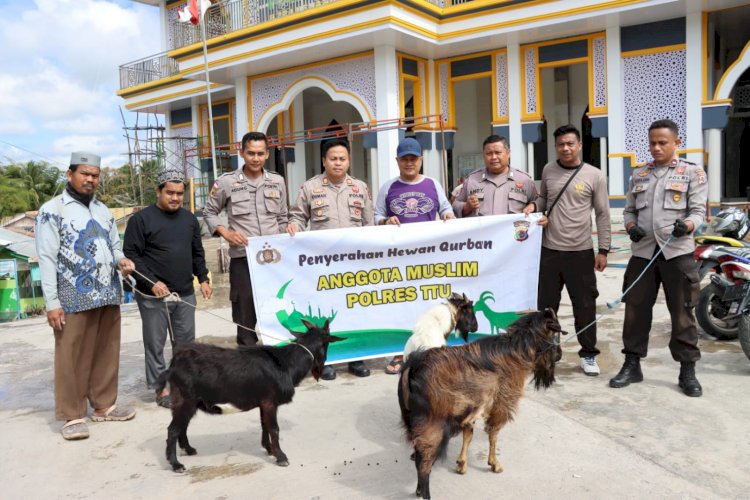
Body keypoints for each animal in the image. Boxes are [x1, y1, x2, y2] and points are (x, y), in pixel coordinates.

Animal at [163, 320, 346, 472]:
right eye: (327, 344)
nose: (321, 367)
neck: (287, 363)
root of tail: (175, 360)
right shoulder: (270, 402)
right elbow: (274, 428)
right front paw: (281, 457)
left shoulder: (264, 402)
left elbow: (264, 425)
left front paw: (269, 449)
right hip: (185, 399)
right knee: (173, 429)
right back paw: (176, 464)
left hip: (187, 402)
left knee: (182, 426)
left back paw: (188, 449)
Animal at [400, 306, 564, 498]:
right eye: (556, 334)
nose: (560, 355)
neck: (516, 350)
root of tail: (413, 367)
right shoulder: (501, 403)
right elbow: (493, 434)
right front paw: (494, 464)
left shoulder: (472, 407)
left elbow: (469, 434)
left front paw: (462, 464)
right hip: (433, 423)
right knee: (424, 463)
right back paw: (425, 492)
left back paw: (419, 489)